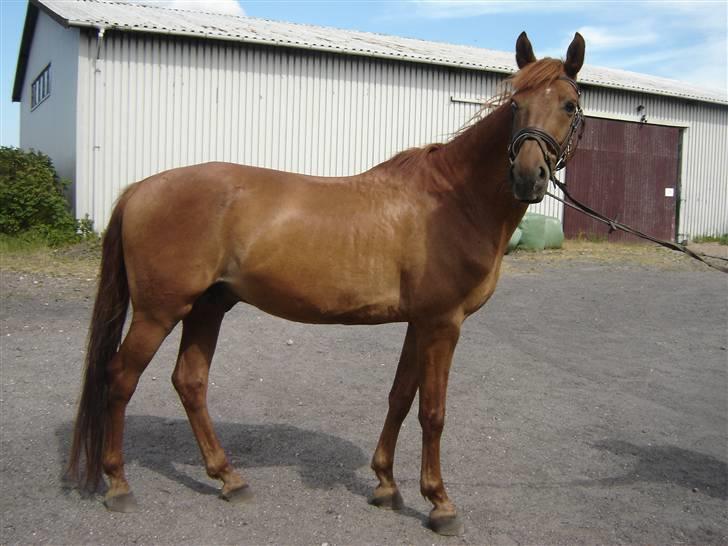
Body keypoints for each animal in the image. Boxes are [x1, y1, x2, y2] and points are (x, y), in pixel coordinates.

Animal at [69, 31, 584, 532]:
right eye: (515, 104)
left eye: (568, 105)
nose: (528, 177)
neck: (453, 202)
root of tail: (140, 188)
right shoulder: (443, 323)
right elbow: (432, 413)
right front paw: (439, 503)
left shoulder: (420, 323)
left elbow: (400, 398)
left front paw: (385, 485)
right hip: (160, 311)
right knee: (121, 377)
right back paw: (119, 485)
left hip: (207, 307)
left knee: (190, 382)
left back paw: (229, 478)